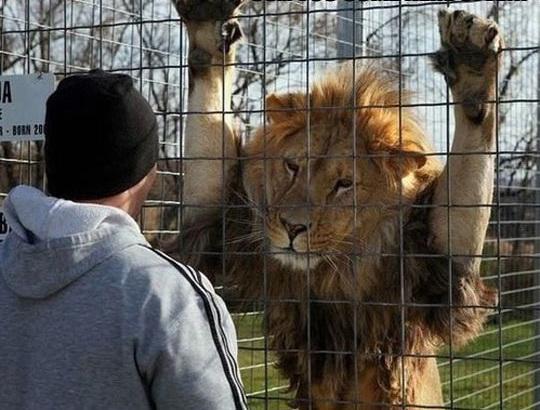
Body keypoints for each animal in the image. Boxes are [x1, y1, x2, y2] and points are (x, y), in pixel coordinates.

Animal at [170, 1, 502, 408]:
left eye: (344, 184)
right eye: (292, 166)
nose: (293, 228)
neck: (333, 272)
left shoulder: (436, 264)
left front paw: (473, 67)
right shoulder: (219, 221)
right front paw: (207, 24)